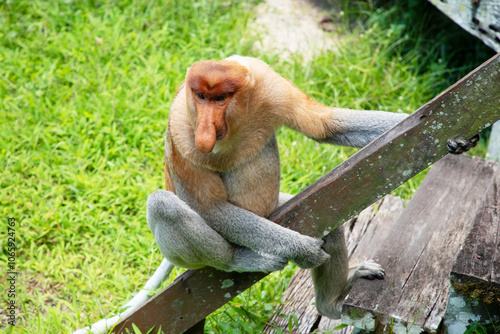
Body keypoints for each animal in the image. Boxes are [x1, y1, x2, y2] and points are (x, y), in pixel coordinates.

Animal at [146, 56, 408, 320]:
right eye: (200, 96)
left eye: (219, 98)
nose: (205, 130)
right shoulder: (181, 130)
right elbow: (211, 207)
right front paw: (303, 250)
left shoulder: (270, 85)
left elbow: (325, 125)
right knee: (162, 203)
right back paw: (239, 260)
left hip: (275, 208)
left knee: (330, 225)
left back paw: (331, 304)